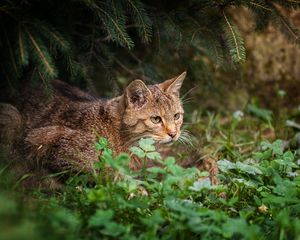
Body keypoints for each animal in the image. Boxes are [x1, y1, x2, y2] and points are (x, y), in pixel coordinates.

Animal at [0, 71, 186, 176]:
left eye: (177, 116)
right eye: (156, 119)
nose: (173, 133)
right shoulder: (46, 141)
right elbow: (100, 177)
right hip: (11, 114)